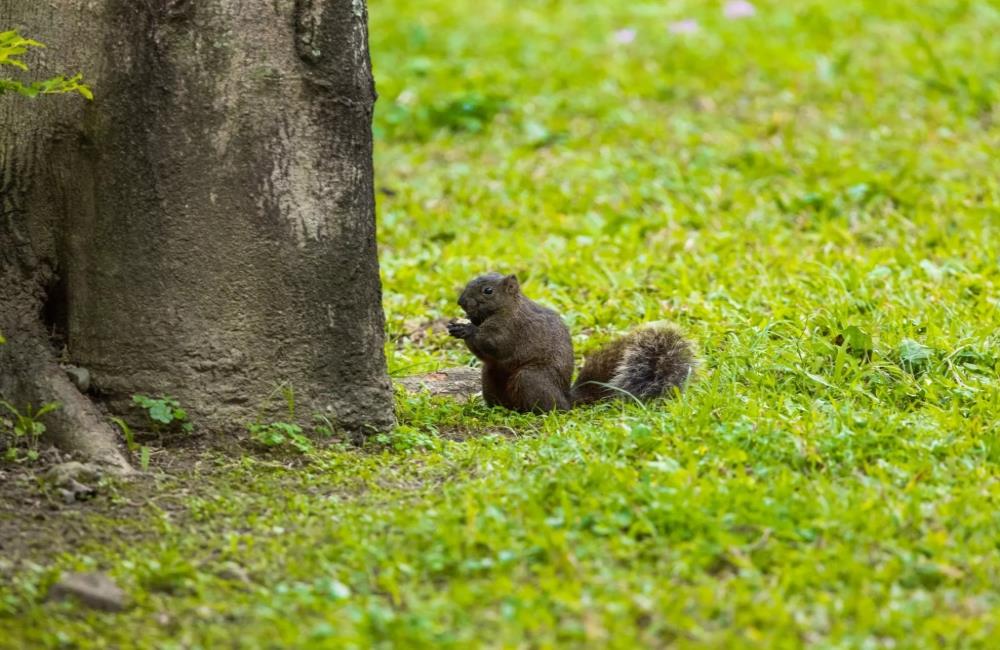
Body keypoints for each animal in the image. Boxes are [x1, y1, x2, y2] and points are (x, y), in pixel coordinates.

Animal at [446, 272, 696, 412]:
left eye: (487, 291)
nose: (460, 302)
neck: (507, 308)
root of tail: (566, 399)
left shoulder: (512, 328)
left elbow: (494, 344)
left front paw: (467, 328)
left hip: (531, 378)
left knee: (552, 409)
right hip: (490, 377)